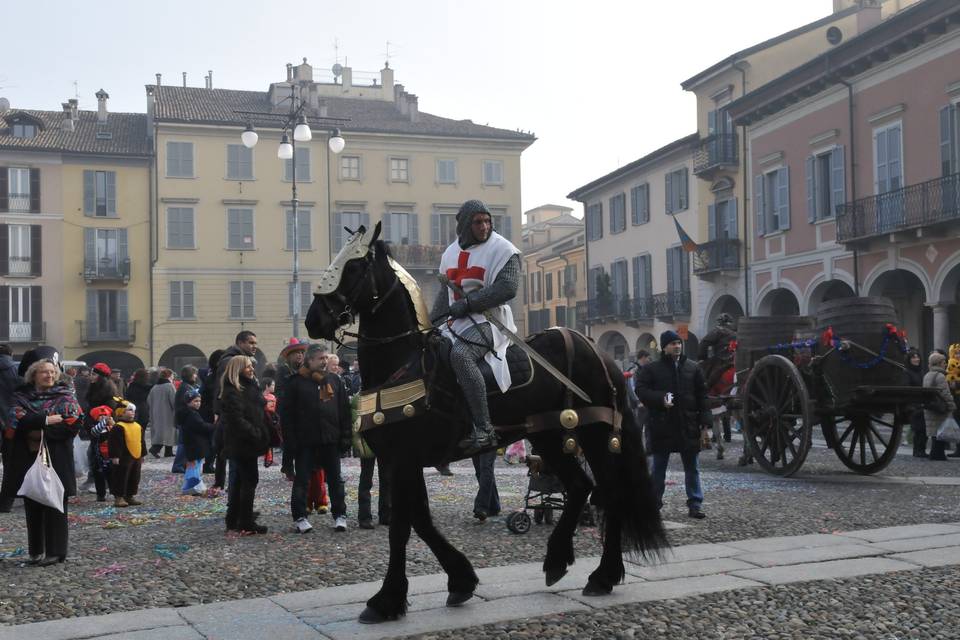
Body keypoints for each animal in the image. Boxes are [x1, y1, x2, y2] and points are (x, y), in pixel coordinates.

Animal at [308, 222, 668, 624]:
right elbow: (421, 520)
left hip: (595, 434)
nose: (313, 320)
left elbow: (402, 526)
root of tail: (598, 351)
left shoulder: (403, 460)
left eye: (354, 266)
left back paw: (603, 575)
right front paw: (460, 580)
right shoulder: (399, 462)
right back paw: (559, 561)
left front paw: (386, 600)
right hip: (548, 436)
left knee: (609, 492)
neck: (404, 362)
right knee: (580, 487)